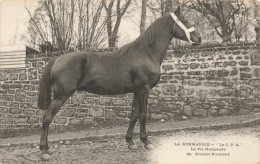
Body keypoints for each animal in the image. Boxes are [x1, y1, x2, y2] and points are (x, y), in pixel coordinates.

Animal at [38, 6, 201, 156]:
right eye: (184, 20)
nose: (199, 38)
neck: (146, 53)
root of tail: (57, 59)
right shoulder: (144, 89)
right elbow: (143, 114)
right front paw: (146, 142)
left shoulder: (137, 91)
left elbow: (134, 115)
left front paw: (130, 142)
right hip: (61, 96)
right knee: (47, 118)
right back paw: (44, 150)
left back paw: (46, 148)